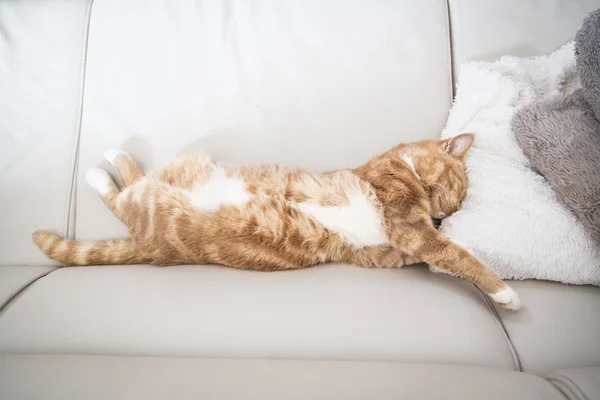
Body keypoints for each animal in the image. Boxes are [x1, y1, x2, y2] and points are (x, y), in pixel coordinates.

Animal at [31, 134, 520, 310]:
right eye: (455, 188)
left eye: (455, 207)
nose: (444, 214)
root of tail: (151, 249)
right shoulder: (407, 223)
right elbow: (458, 255)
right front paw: (505, 293)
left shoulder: (392, 251)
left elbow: (442, 254)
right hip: (164, 191)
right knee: (122, 194)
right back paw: (103, 166)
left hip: (164, 189)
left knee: (135, 184)